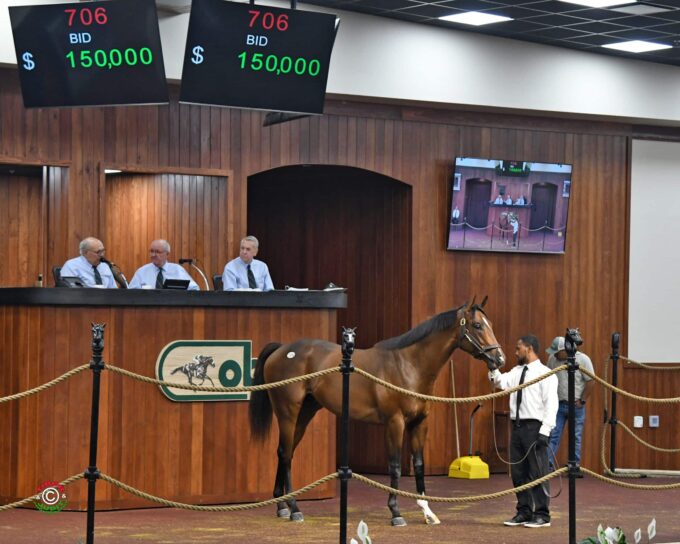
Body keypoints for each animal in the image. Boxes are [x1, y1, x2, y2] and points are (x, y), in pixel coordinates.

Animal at [250, 298, 504, 528]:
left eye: (490, 324)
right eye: (477, 325)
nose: (499, 359)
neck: (408, 366)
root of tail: (282, 349)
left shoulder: (420, 423)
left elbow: (419, 464)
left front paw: (427, 512)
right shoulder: (395, 422)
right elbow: (395, 466)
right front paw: (396, 512)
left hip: (305, 414)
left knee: (286, 452)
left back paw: (282, 506)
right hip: (288, 413)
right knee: (285, 454)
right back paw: (294, 508)